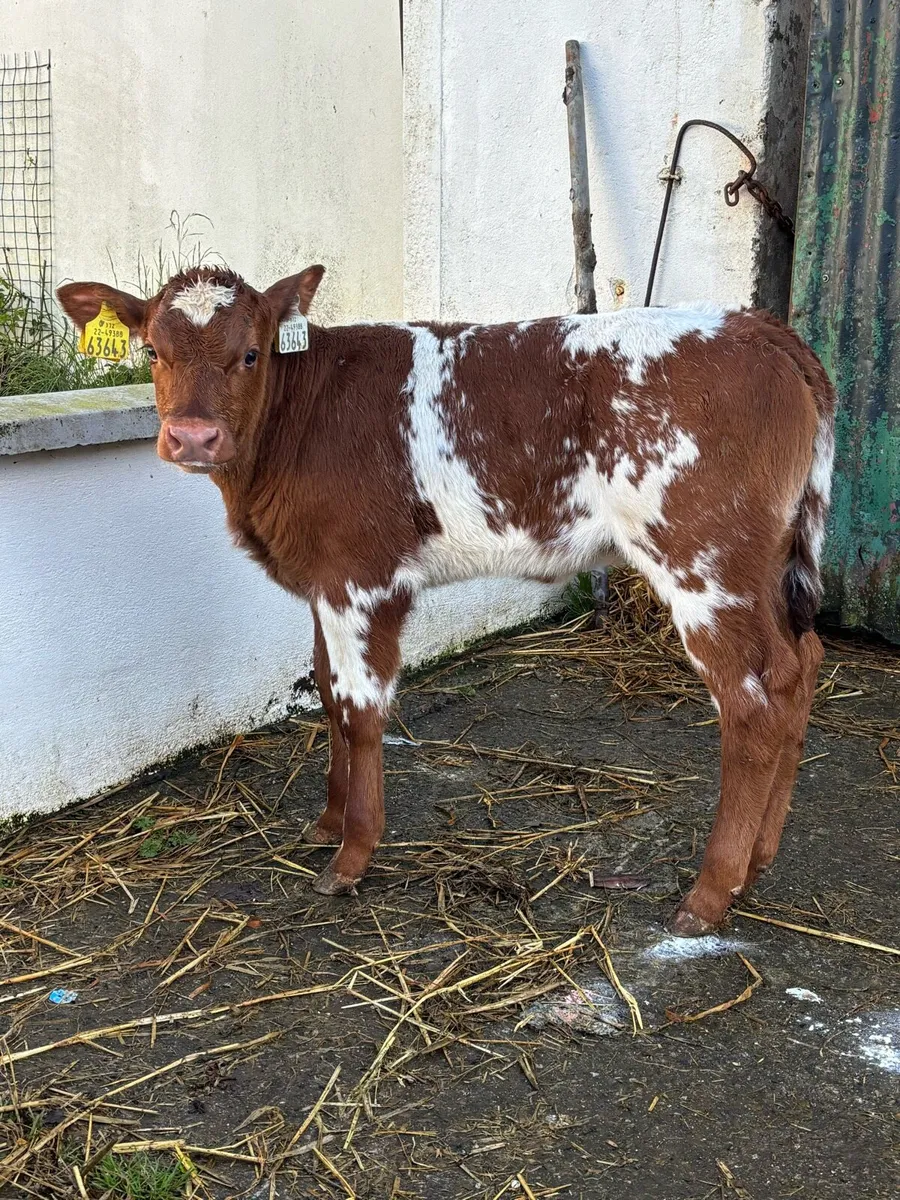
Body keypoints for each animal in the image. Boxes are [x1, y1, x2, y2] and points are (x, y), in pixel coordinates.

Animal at [58, 266, 835, 935]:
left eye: (250, 353)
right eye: (151, 351)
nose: (192, 437)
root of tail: (762, 328)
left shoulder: (362, 577)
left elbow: (361, 710)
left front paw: (352, 854)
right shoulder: (322, 583)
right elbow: (328, 695)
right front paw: (326, 824)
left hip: (703, 560)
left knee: (752, 703)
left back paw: (710, 893)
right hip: (763, 565)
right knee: (799, 667)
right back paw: (757, 863)